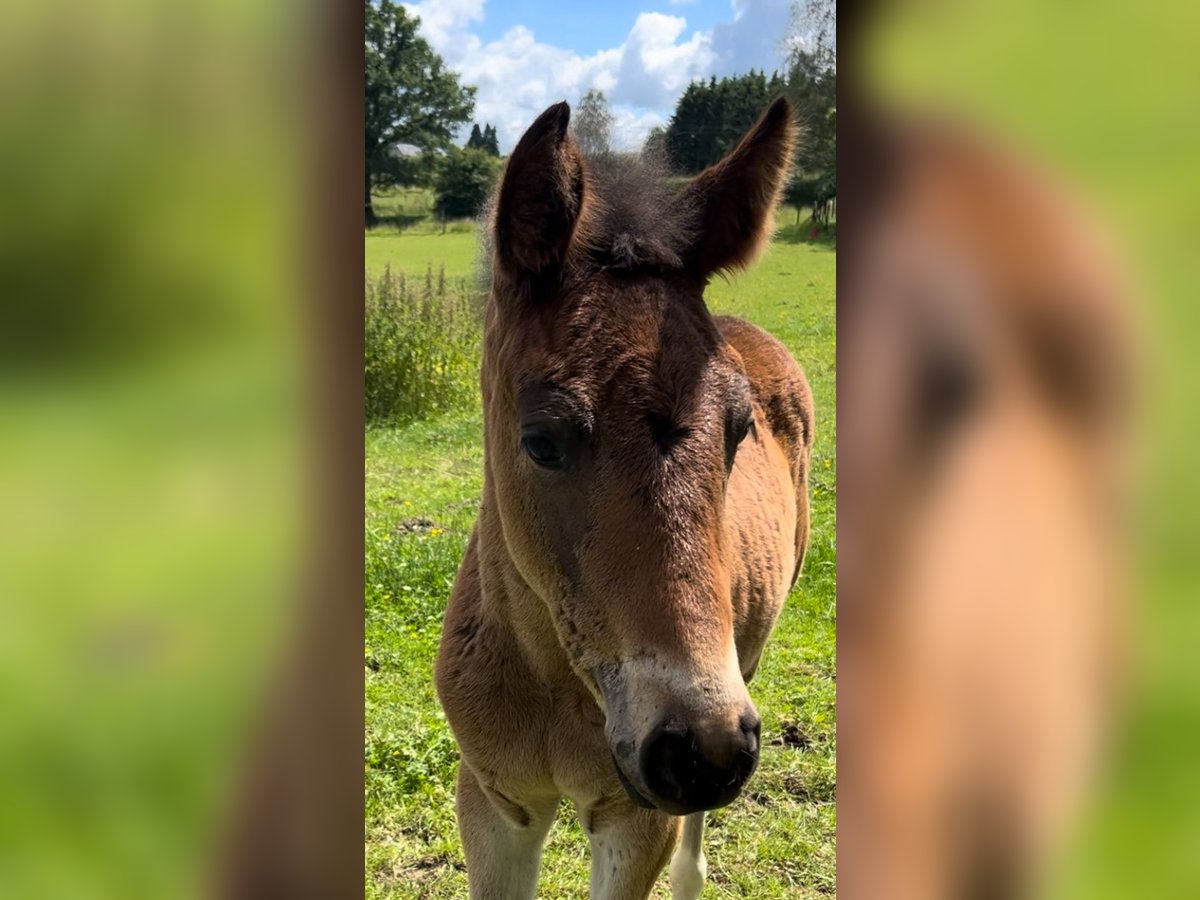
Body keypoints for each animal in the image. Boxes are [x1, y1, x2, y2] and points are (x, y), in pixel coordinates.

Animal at [436, 100, 811, 900]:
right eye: (540, 440)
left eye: (738, 430)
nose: (699, 750)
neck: (554, 686)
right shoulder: (492, 802)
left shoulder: (634, 819)